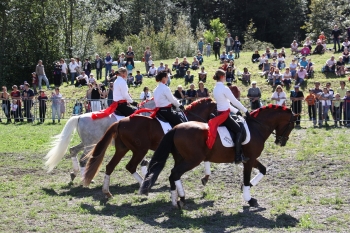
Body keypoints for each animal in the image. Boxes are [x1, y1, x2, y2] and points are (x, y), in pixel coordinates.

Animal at [84, 97, 216, 198]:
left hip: (122, 149)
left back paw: (107, 192)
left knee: (110, 166)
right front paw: (205, 177)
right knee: (130, 166)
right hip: (140, 150)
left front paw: (205, 177)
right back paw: (144, 185)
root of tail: (120, 122)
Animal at [139, 104, 298, 208]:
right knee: (175, 173)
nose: (281, 142)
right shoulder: (249, 160)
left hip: (180, 158)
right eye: (291, 125)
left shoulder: (252, 158)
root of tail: (176, 128)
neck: (257, 127)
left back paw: (175, 199)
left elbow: (263, 170)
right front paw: (249, 198)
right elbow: (247, 178)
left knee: (173, 175)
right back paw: (182, 198)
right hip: (192, 160)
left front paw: (245, 187)